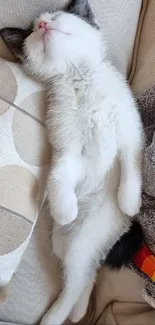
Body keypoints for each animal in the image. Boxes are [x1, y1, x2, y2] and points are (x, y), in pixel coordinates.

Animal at [0, 0, 143, 322]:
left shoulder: (130, 126)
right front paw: (65, 208)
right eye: (32, 32)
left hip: (88, 234)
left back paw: (64, 313)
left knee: (82, 274)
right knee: (82, 275)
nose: (43, 25)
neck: (79, 77)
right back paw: (70, 312)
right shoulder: (67, 146)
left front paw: (130, 201)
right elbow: (60, 173)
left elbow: (130, 160)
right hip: (64, 241)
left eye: (55, 16)